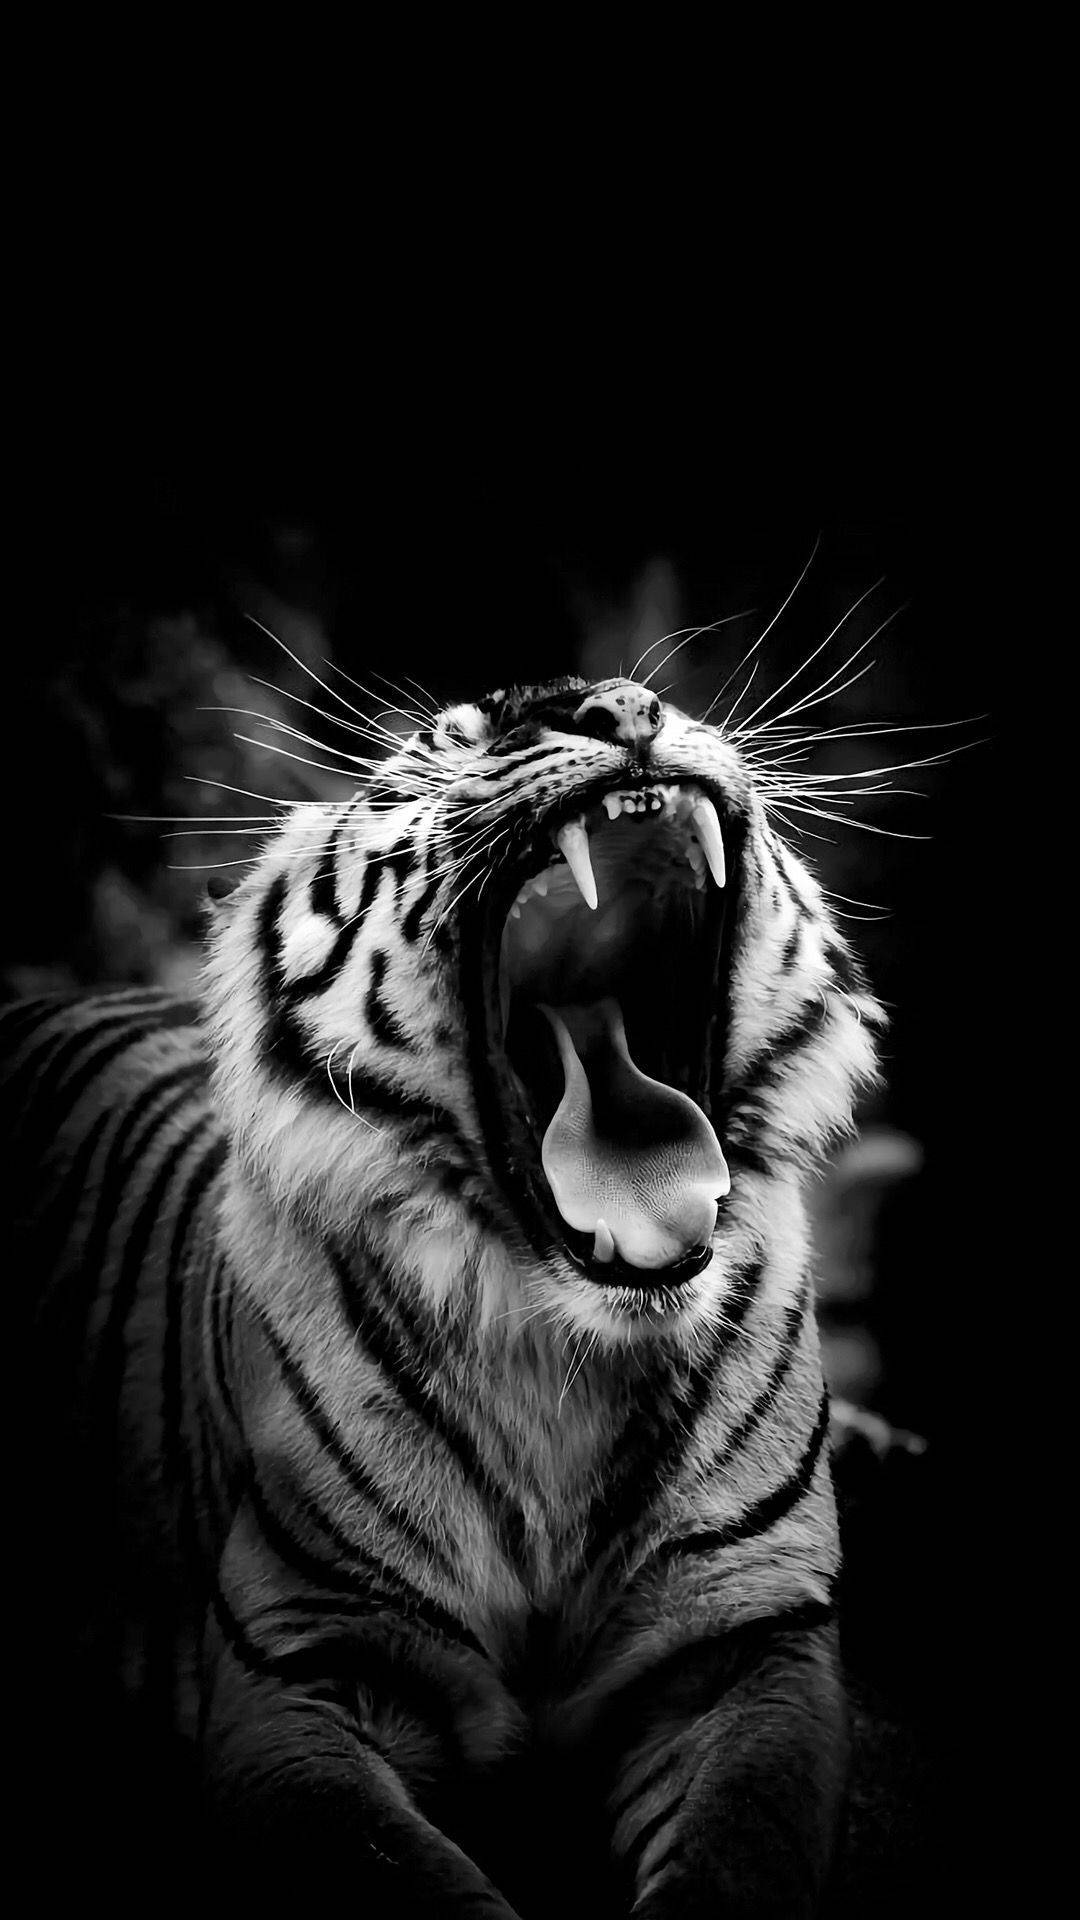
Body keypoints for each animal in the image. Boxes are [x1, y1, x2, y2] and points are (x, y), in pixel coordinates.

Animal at [6, 671, 886, 1915]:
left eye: (649, 697)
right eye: (441, 745)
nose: (611, 705)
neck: (568, 1359)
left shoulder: (752, 1638)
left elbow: (737, 1852)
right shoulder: (301, 1665)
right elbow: (404, 1875)